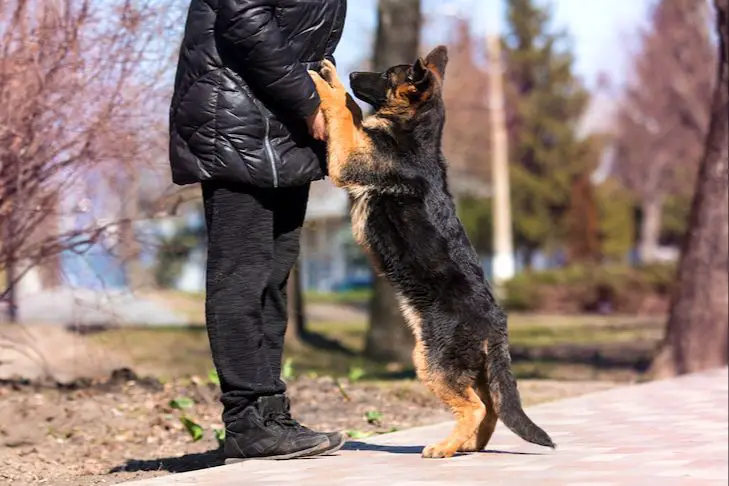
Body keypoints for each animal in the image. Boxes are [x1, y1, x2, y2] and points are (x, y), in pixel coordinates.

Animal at [306, 46, 552, 460]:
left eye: (387, 75)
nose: (352, 72)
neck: (415, 134)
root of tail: (497, 324)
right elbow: (353, 113)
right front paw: (332, 79)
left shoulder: (348, 159)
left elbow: (341, 109)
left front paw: (325, 81)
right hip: (466, 367)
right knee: (489, 408)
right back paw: (466, 446)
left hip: (432, 361)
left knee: (475, 407)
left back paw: (444, 447)